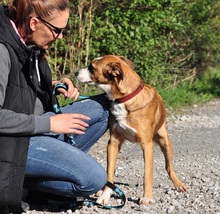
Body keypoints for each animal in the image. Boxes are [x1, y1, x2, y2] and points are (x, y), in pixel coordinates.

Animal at [76, 55, 187, 206]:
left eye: (91, 67)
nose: (75, 73)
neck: (124, 99)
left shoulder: (147, 145)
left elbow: (147, 174)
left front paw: (147, 197)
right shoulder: (113, 143)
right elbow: (109, 172)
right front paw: (105, 195)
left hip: (165, 141)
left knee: (169, 166)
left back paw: (178, 184)